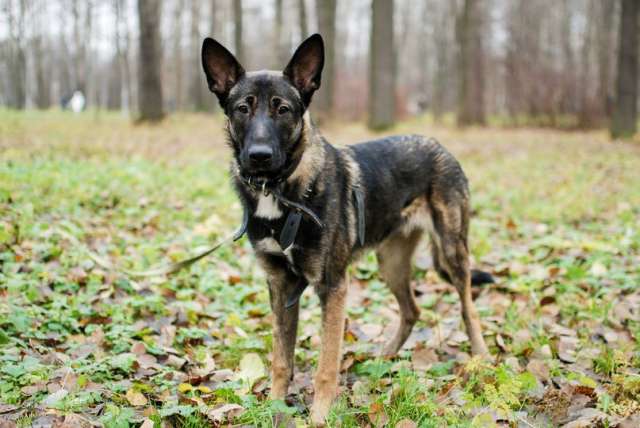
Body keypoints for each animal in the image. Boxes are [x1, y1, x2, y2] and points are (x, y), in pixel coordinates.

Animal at [202, 32, 492, 424]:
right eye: (241, 109)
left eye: (283, 110)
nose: (259, 155)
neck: (280, 190)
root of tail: (439, 145)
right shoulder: (280, 286)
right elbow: (281, 360)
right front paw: (274, 409)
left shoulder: (333, 286)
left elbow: (326, 367)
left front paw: (319, 417)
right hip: (391, 263)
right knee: (412, 311)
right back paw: (384, 359)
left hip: (452, 251)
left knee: (467, 306)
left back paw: (481, 358)